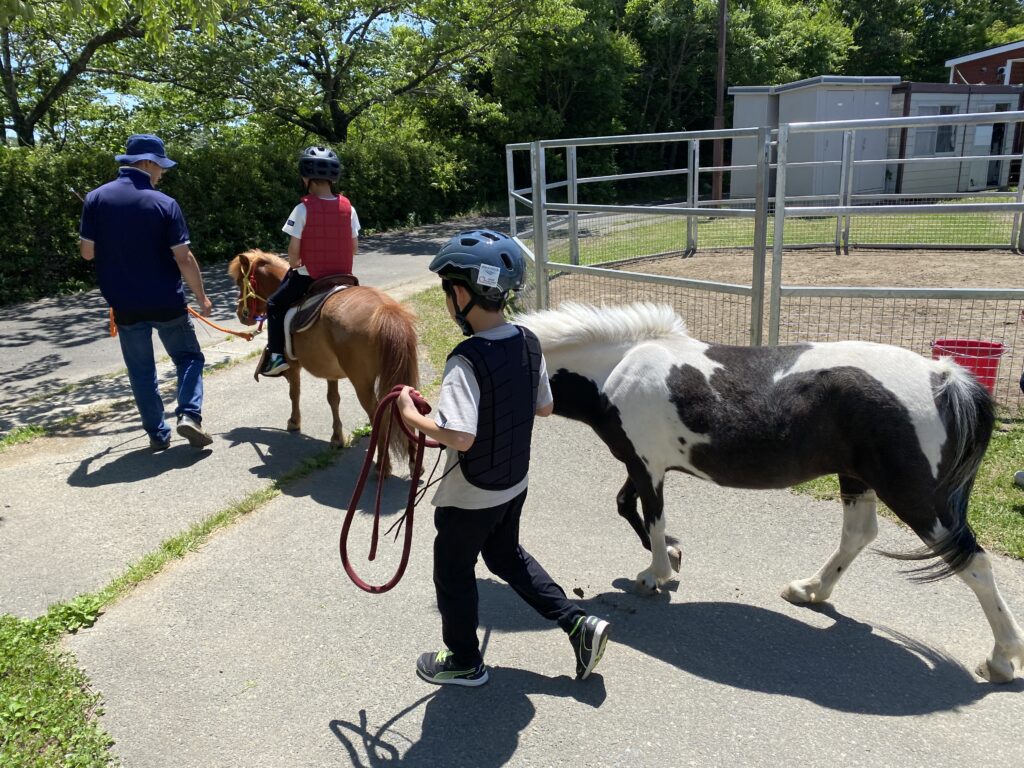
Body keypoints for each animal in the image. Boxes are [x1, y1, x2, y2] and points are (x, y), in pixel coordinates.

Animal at [226, 249, 417, 479]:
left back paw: (382, 465)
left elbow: (294, 393)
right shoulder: (331, 371)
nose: (241, 314)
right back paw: (415, 464)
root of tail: (385, 310)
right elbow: (333, 399)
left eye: (240, 282)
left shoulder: (293, 366)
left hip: (362, 382)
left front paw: (294, 422)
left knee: (378, 414)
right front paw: (336, 438)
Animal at [520, 303, 1024, 684]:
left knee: (974, 563)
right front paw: (673, 558)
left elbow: (652, 517)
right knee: (859, 535)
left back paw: (1002, 658)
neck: (617, 367)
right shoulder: (641, 464)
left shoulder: (647, 466)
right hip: (857, 479)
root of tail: (944, 376)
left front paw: (656, 573)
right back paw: (810, 590)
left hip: (916, 499)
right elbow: (630, 508)